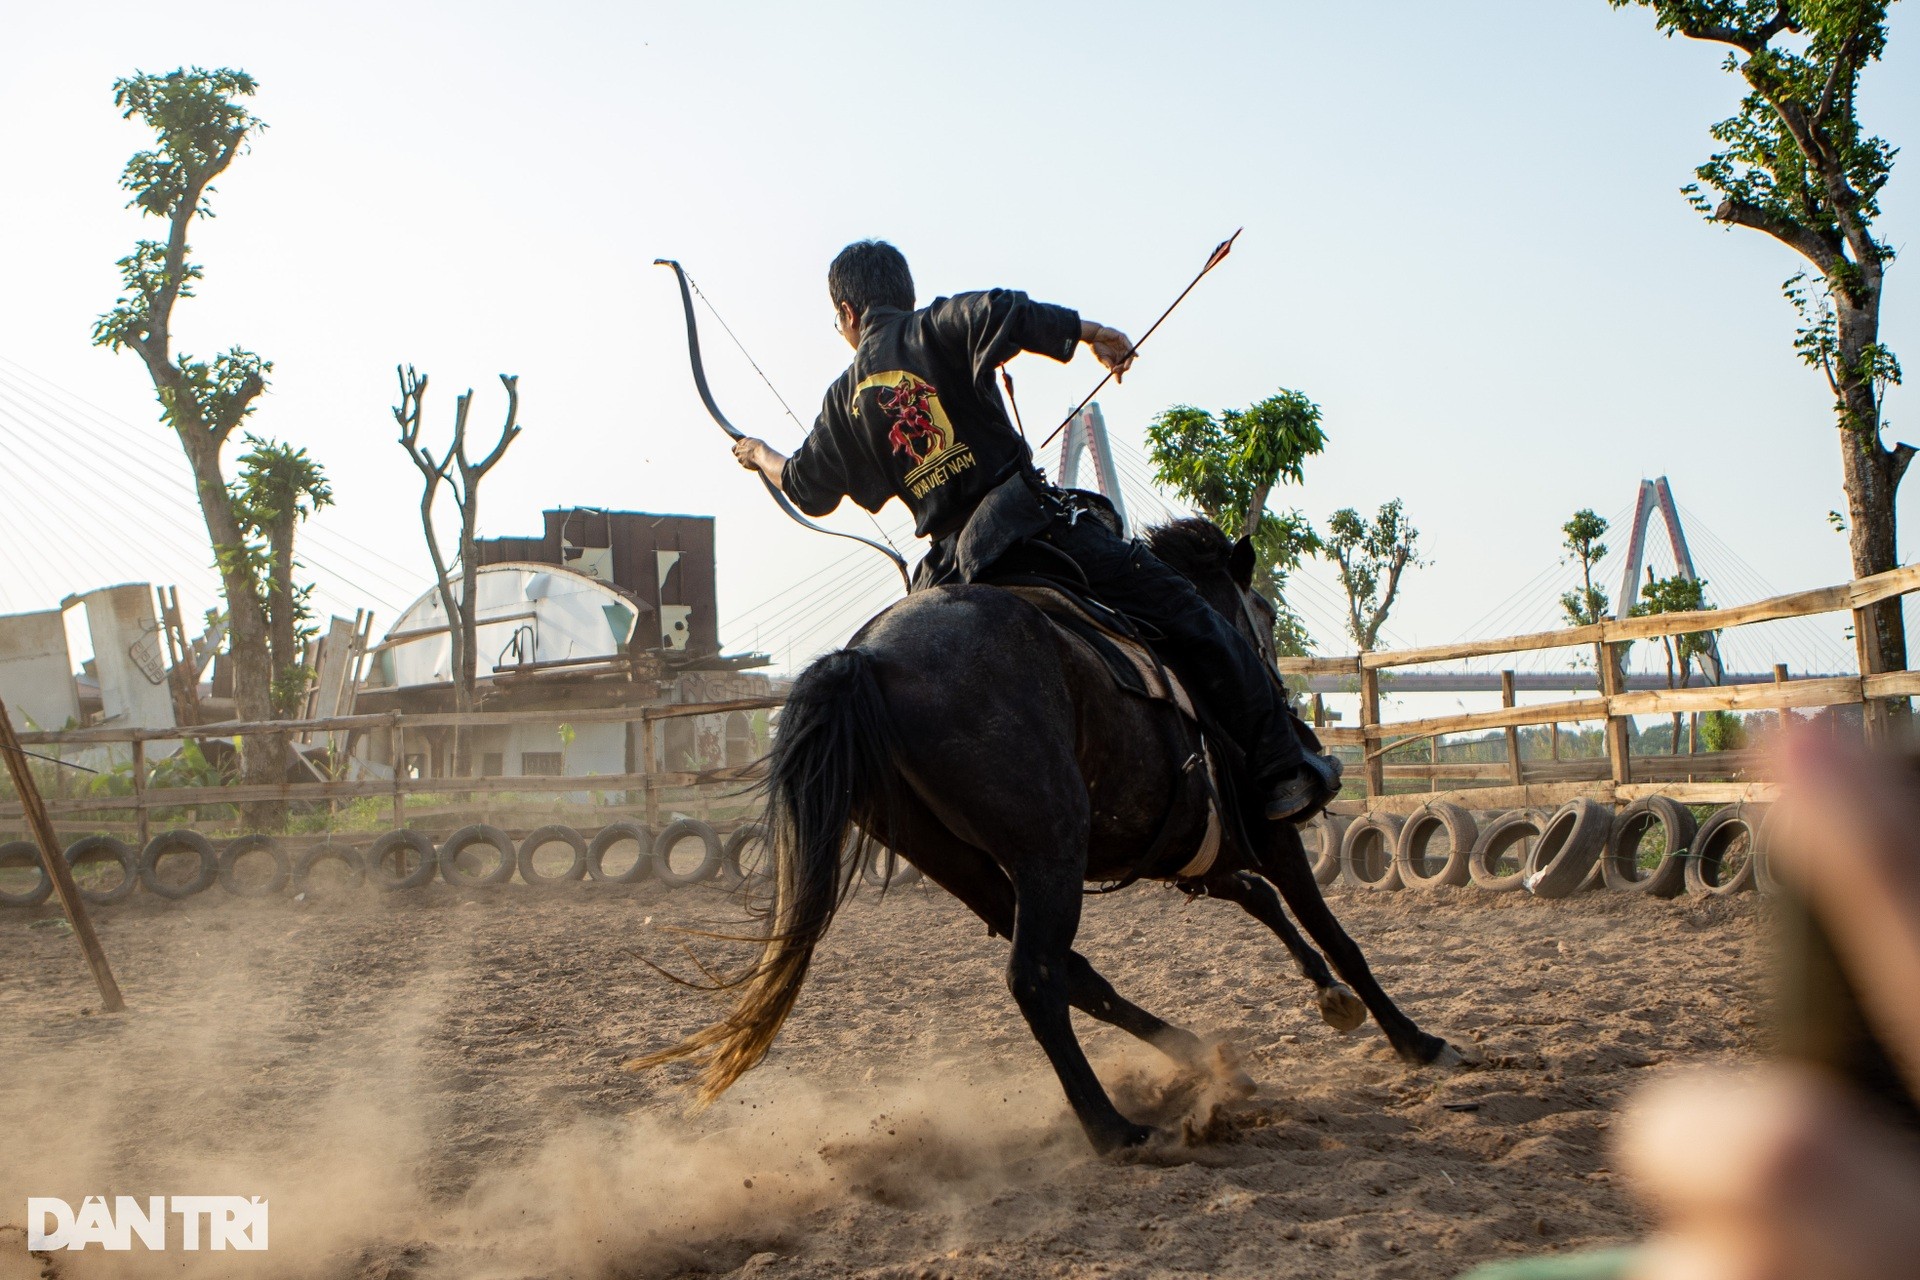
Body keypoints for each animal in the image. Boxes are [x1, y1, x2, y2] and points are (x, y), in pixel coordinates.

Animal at [637, 514, 1459, 1159]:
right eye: (1257, 609)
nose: (1294, 711)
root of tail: (867, 658)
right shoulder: (1267, 832)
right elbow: (1335, 932)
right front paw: (1414, 1040)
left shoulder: (1191, 852)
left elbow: (1261, 901)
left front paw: (1334, 1000)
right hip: (1047, 854)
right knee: (1035, 977)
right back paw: (1116, 1130)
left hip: (974, 870)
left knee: (1074, 974)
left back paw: (1191, 1060)